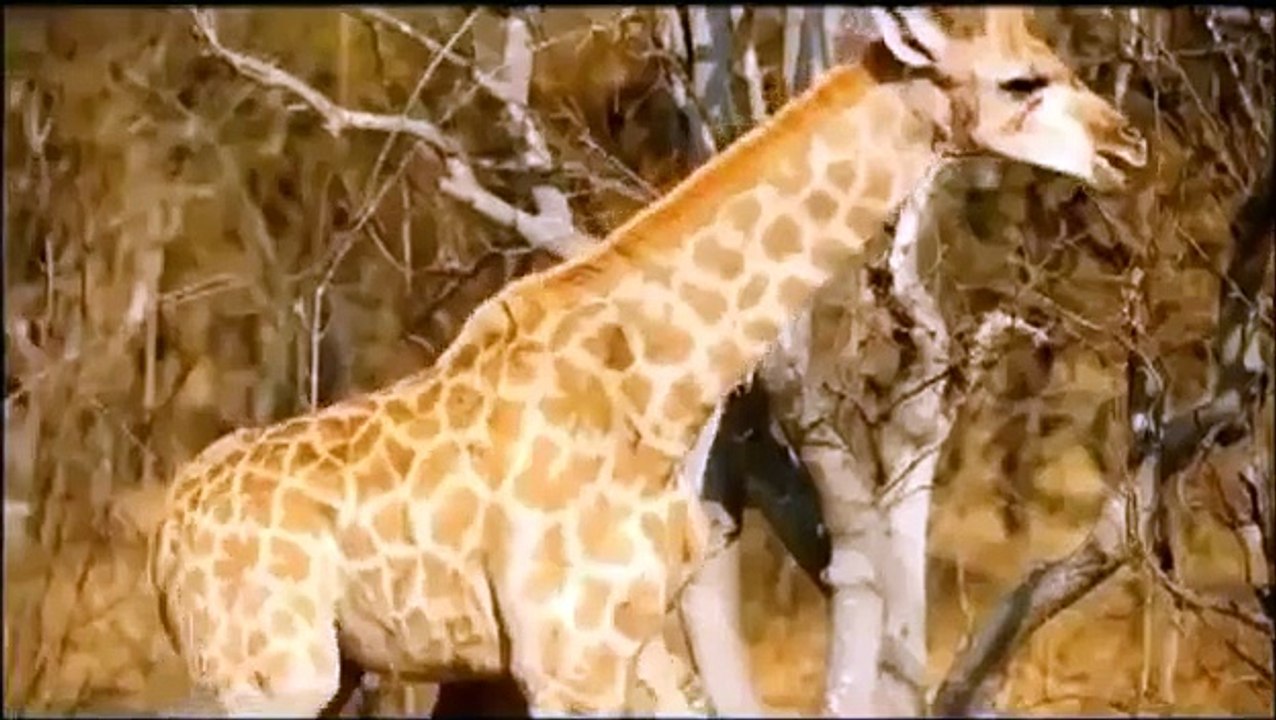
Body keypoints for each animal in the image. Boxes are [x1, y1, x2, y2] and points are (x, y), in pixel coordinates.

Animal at [148, 7, 1147, 716]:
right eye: (1024, 80)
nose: (1128, 145)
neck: (663, 386)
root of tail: (162, 544)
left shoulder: (556, 658)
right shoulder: (568, 660)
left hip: (330, 671)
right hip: (272, 673)